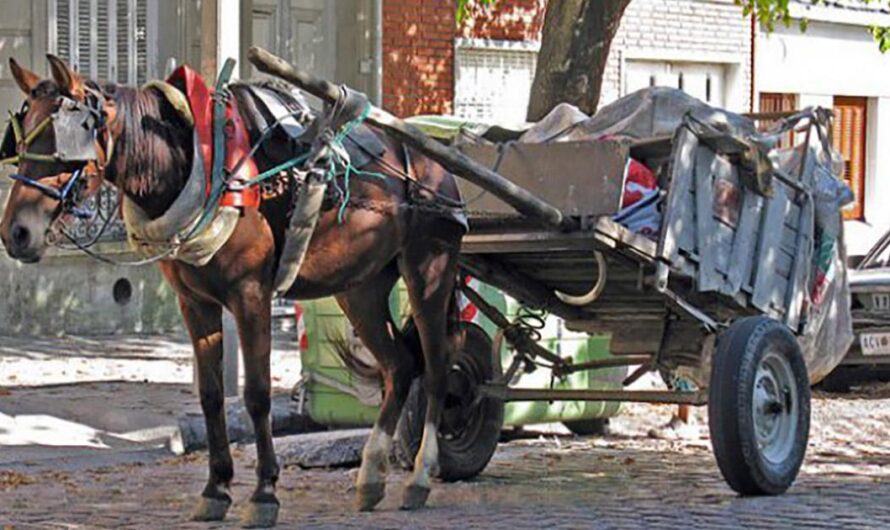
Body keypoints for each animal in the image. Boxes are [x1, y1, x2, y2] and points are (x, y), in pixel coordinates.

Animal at [1, 55, 464, 524]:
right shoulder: (195, 303)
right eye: (19, 140)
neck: (198, 167)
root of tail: (433, 163)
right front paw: (216, 488)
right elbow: (210, 396)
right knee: (399, 366)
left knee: (437, 368)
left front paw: (264, 493)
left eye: (63, 143)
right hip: (360, 286)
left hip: (428, 270)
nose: (16, 232)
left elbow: (257, 395)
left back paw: (419, 477)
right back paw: (370, 476)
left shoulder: (251, 296)